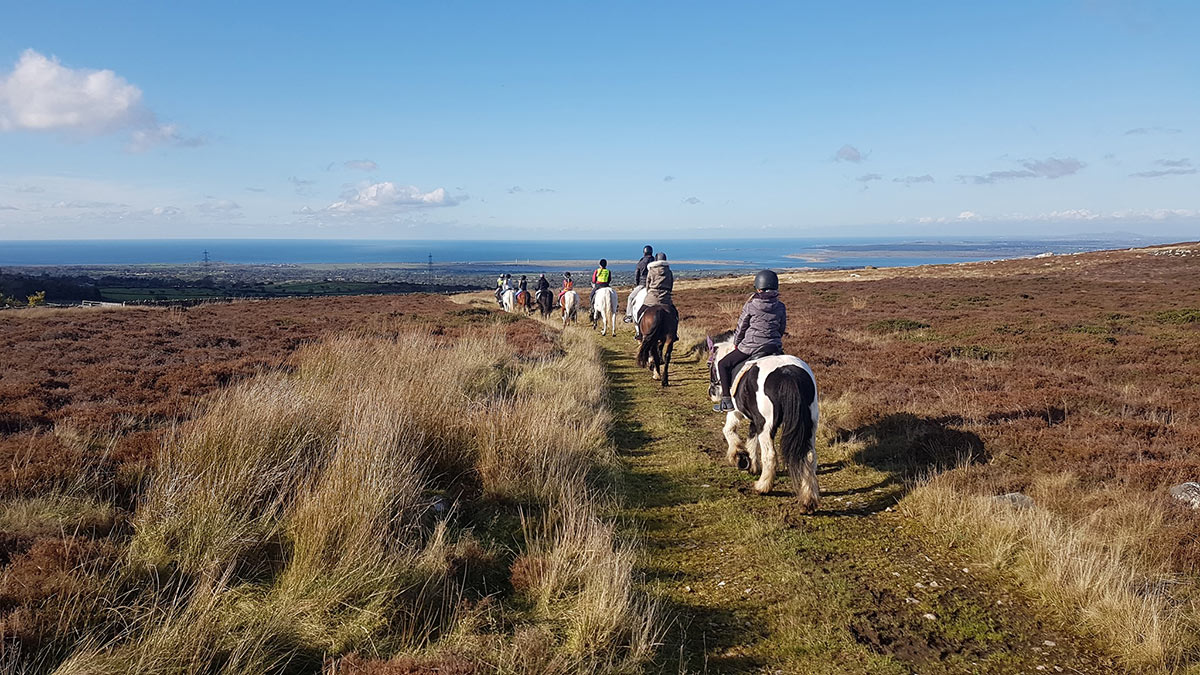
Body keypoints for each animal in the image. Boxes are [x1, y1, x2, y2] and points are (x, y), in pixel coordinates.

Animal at [705, 331, 820, 509]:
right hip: (810, 425)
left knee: (770, 455)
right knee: (809, 456)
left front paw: (738, 455)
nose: (711, 393)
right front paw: (751, 464)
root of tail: (788, 374)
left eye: (709, 364)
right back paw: (809, 500)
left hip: (767, 426)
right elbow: (751, 439)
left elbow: (728, 431)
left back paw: (762, 487)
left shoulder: (735, 412)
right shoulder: (755, 420)